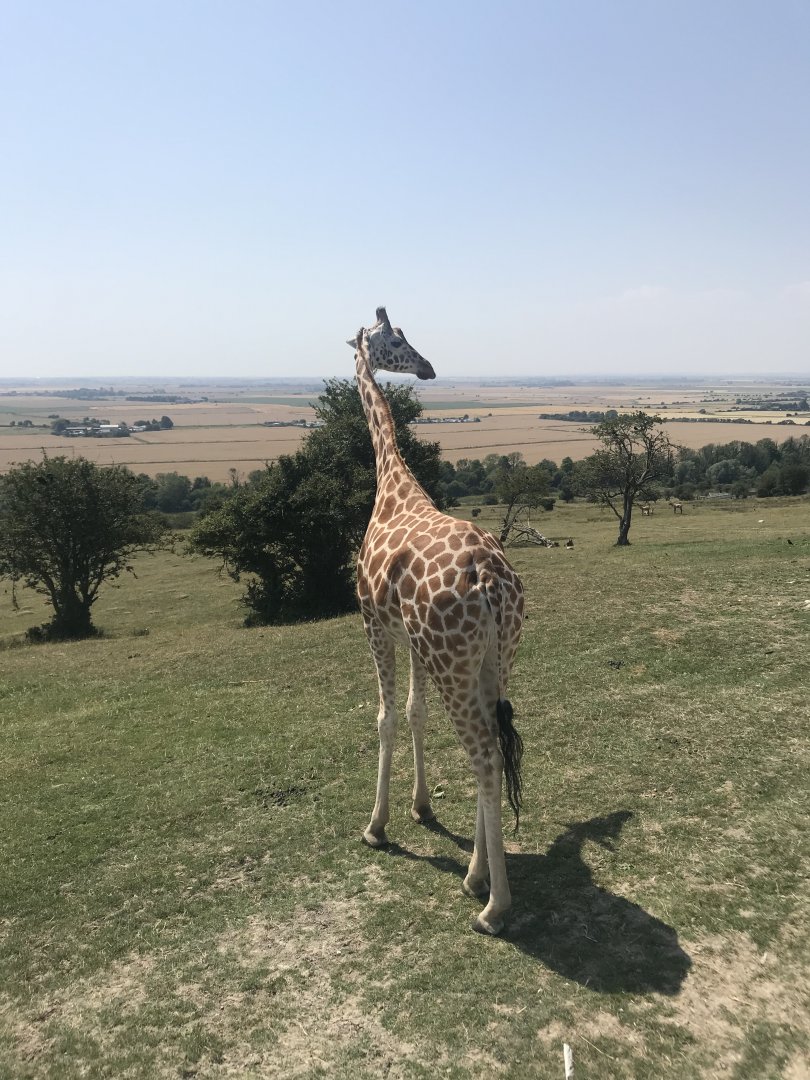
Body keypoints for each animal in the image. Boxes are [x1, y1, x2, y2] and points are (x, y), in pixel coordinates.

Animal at [347, 307, 525, 935]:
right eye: (398, 339)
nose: (426, 367)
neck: (392, 484)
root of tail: (492, 582)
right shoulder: (411, 639)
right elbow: (413, 713)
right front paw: (421, 806)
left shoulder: (373, 624)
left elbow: (384, 718)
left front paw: (376, 826)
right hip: (495, 657)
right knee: (493, 744)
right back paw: (475, 876)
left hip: (453, 661)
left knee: (485, 755)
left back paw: (494, 907)